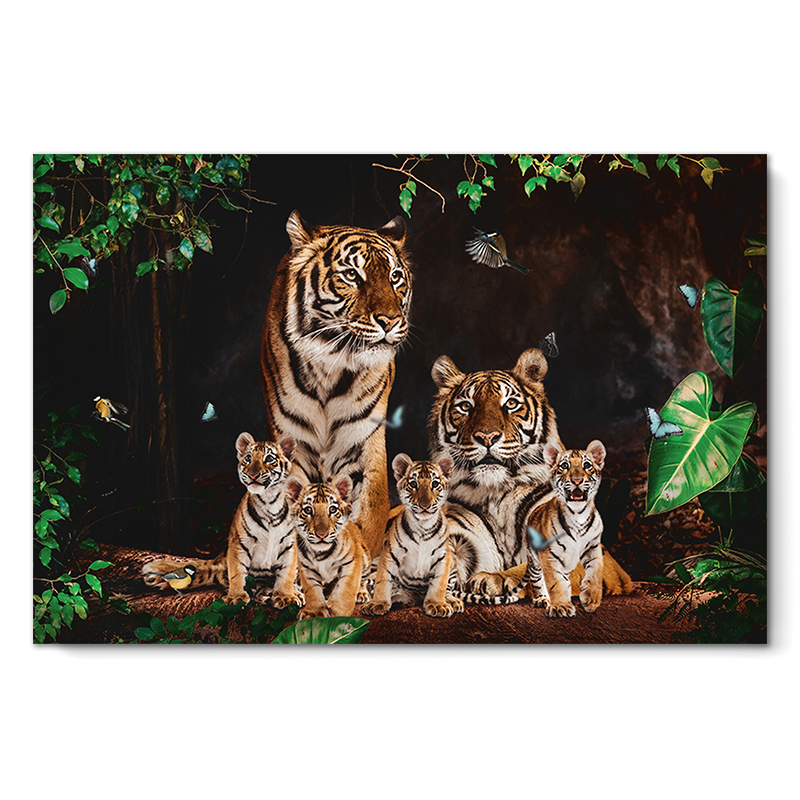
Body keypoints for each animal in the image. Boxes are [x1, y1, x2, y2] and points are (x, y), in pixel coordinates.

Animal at [260, 210, 413, 562]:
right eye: (352, 275)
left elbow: (367, 513)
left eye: (395, 276)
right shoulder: (292, 442)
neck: (330, 366)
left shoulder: (362, 440)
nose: (390, 321)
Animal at [285, 473, 371, 620]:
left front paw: (338, 612)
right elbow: (312, 590)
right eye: (308, 510)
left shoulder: (352, 562)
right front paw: (313, 612)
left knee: (362, 580)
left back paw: (361, 593)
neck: (320, 553)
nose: (322, 534)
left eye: (332, 509)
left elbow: (346, 588)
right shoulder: (306, 568)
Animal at [361, 454, 465, 618]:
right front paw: (378, 603)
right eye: (413, 484)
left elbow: (440, 583)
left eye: (435, 484)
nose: (425, 505)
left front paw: (437, 604)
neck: (423, 526)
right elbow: (383, 580)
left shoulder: (443, 556)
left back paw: (452, 601)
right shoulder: (390, 553)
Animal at [428, 346, 633, 599]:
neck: (496, 493)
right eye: (466, 406)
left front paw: (493, 579)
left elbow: (535, 567)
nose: (487, 437)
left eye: (511, 404)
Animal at [520, 440, 607, 617]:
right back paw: (542, 599)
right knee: (538, 580)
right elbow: (555, 582)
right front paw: (561, 606)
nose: (577, 480)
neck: (578, 514)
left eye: (587, 465)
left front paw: (591, 599)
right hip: (534, 560)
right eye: (564, 466)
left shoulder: (593, 547)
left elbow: (595, 573)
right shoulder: (549, 555)